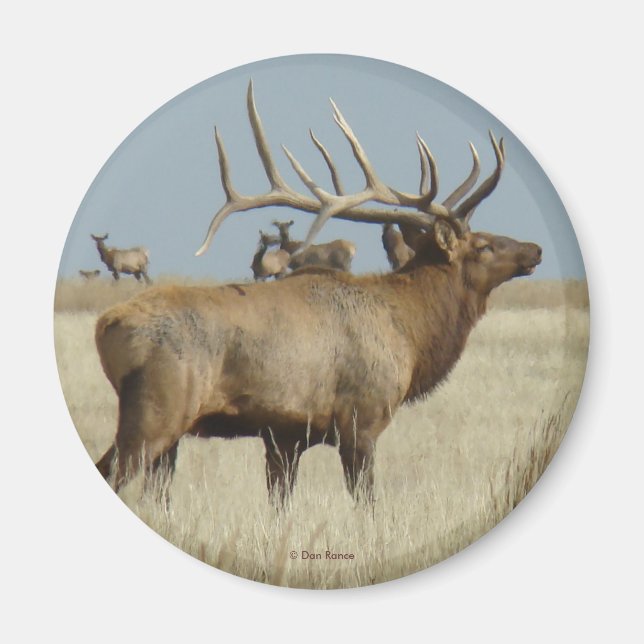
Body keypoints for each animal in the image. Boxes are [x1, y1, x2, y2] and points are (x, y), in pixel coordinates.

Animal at [94, 81, 541, 507]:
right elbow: (367, 504)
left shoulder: (285, 435)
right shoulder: (361, 419)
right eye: (483, 245)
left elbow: (280, 505)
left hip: (167, 430)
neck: (411, 334)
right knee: (116, 473)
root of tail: (106, 325)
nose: (534, 249)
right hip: (157, 410)